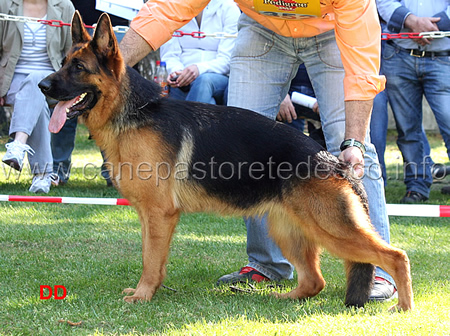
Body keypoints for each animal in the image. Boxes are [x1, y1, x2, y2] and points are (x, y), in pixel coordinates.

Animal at [40, 11, 414, 312]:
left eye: (79, 68)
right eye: (63, 62)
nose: (43, 85)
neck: (132, 113)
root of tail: (332, 160)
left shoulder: (160, 214)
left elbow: (150, 259)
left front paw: (143, 296)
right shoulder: (149, 215)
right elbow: (151, 258)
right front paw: (148, 292)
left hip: (332, 229)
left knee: (395, 256)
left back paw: (404, 308)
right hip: (287, 229)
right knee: (314, 281)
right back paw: (284, 298)